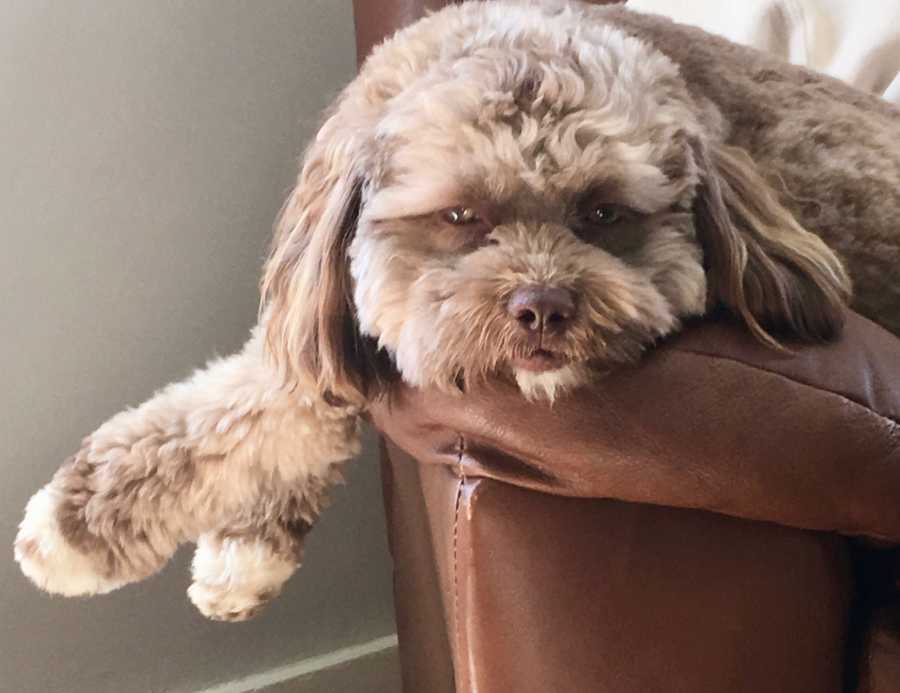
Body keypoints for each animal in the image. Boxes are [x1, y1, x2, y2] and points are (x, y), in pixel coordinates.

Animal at [14, 1, 900, 620]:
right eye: (461, 216)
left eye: (603, 213)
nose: (543, 305)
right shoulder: (339, 314)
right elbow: (275, 395)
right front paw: (232, 544)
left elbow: (263, 406)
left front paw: (81, 525)